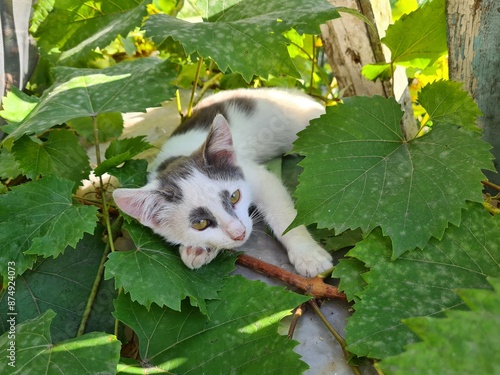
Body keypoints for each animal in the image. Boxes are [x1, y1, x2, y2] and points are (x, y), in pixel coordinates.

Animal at [112, 87, 332, 276]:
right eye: (201, 223)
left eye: (235, 197)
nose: (239, 233)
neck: (175, 159)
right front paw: (197, 250)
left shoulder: (257, 176)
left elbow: (284, 216)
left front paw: (309, 256)